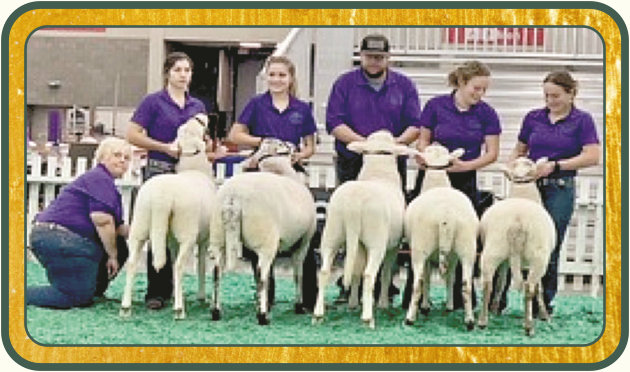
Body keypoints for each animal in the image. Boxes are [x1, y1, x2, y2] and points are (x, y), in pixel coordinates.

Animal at [119, 115, 216, 322]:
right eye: (199, 126)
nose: (200, 116)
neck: (195, 168)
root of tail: (160, 198)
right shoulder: (204, 238)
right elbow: (201, 265)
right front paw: (201, 296)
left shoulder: (171, 239)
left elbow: (170, 263)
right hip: (187, 232)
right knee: (179, 266)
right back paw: (179, 310)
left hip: (139, 225)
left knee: (132, 262)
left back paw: (126, 307)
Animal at [210, 137, 318, 326]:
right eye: (284, 145)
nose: (294, 145)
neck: (281, 171)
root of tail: (234, 197)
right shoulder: (303, 241)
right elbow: (298, 273)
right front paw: (298, 306)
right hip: (265, 241)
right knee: (261, 275)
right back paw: (262, 316)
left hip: (219, 237)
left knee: (217, 272)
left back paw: (216, 311)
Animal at [314, 131, 414, 328]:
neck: (379, 173)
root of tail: (354, 203)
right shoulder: (394, 246)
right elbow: (385, 273)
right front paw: (382, 304)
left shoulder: (359, 244)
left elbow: (354, 271)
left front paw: (353, 304)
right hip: (377, 242)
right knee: (369, 274)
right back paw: (368, 318)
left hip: (332, 234)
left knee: (324, 271)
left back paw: (318, 315)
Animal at [404, 144, 478, 330]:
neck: (437, 182)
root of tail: (447, 215)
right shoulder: (453, 256)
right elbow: (451, 277)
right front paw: (449, 306)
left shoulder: (428, 255)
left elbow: (427, 278)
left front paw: (425, 307)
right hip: (467, 247)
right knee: (466, 284)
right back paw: (469, 321)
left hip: (420, 247)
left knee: (418, 282)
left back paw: (410, 318)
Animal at [478, 155, 556, 336]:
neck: (522, 193)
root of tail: (517, 221)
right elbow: (540, 289)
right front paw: (544, 316)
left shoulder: (506, 261)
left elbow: (501, 283)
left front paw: (495, 309)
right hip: (539, 257)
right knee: (529, 287)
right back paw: (528, 326)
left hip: (493, 251)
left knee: (487, 284)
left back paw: (483, 321)